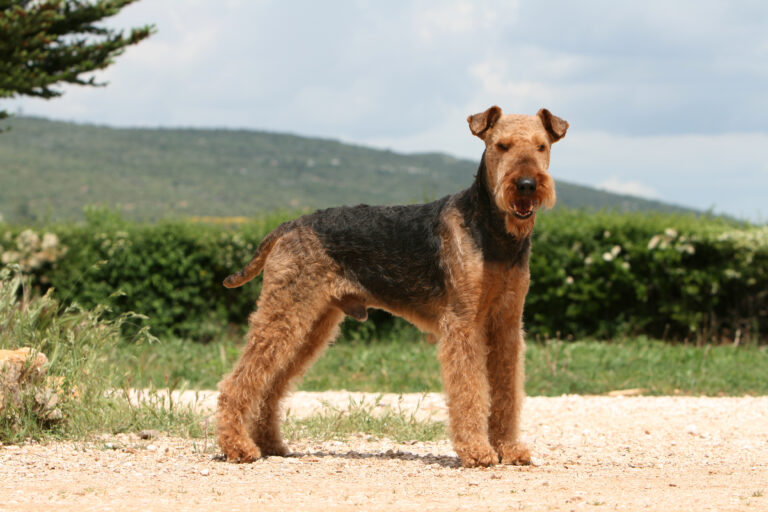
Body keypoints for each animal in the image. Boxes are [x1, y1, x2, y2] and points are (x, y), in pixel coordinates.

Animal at [216, 107, 564, 468]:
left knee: (270, 386)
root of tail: (289, 225)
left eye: (541, 146)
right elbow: (470, 391)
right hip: (286, 313)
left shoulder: (506, 324)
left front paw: (510, 448)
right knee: (236, 383)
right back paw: (238, 447)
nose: (526, 185)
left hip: (311, 324)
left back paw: (270, 444)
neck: (494, 232)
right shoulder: (463, 324)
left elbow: (507, 391)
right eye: (501, 146)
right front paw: (477, 450)